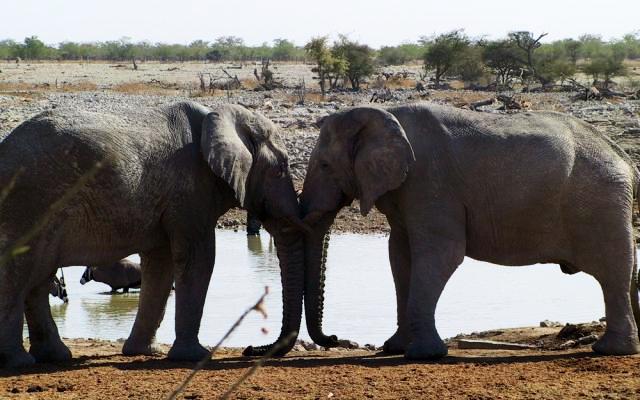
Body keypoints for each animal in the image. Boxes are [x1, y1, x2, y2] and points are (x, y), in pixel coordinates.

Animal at [0, 101, 308, 368]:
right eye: (281, 169)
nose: (249, 349)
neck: (219, 115)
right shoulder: (190, 190)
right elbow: (198, 258)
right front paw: (194, 356)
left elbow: (161, 264)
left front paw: (143, 352)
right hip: (28, 201)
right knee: (20, 273)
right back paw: (18, 362)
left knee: (39, 277)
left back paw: (54, 356)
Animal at [298, 103, 640, 360]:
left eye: (325, 165)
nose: (338, 338)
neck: (385, 114)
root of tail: (625, 158)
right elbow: (400, 255)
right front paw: (394, 348)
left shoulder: (430, 182)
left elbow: (440, 255)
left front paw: (422, 355)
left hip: (602, 202)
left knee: (613, 272)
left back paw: (611, 351)